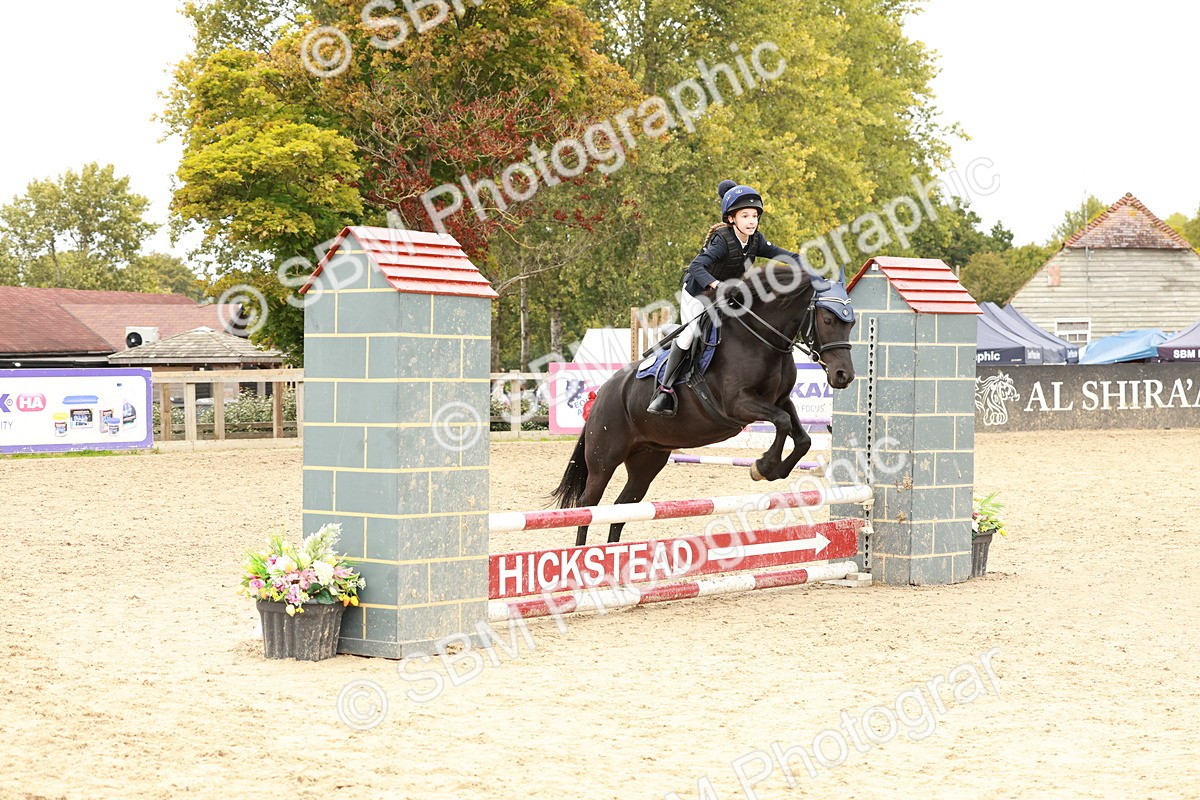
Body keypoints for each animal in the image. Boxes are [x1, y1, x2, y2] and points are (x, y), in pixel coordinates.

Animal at [551, 262, 857, 546]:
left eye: (851, 322)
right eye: (828, 319)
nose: (844, 376)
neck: (760, 337)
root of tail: (601, 393)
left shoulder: (780, 399)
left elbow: (802, 438)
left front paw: (773, 470)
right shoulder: (739, 403)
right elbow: (781, 422)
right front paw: (762, 467)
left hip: (647, 460)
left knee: (621, 508)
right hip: (604, 459)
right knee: (587, 505)